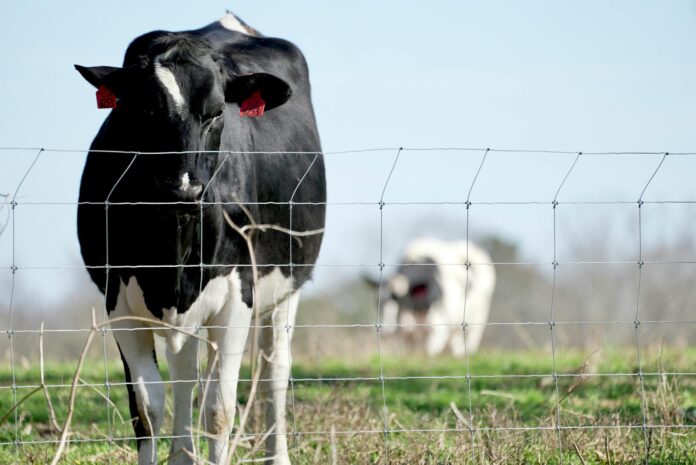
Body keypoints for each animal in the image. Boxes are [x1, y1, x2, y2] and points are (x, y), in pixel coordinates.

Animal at [75, 12, 325, 465]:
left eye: (216, 112)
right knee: (185, 373)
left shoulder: (238, 296)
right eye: (142, 112)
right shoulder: (118, 302)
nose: (185, 189)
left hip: (287, 284)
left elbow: (219, 410)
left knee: (274, 370)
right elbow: (148, 409)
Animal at [366, 239, 495, 356]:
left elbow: (430, 352)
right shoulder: (407, 330)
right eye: (377, 302)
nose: (386, 330)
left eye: (400, 300)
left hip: (479, 315)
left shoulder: (440, 326)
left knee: (472, 337)